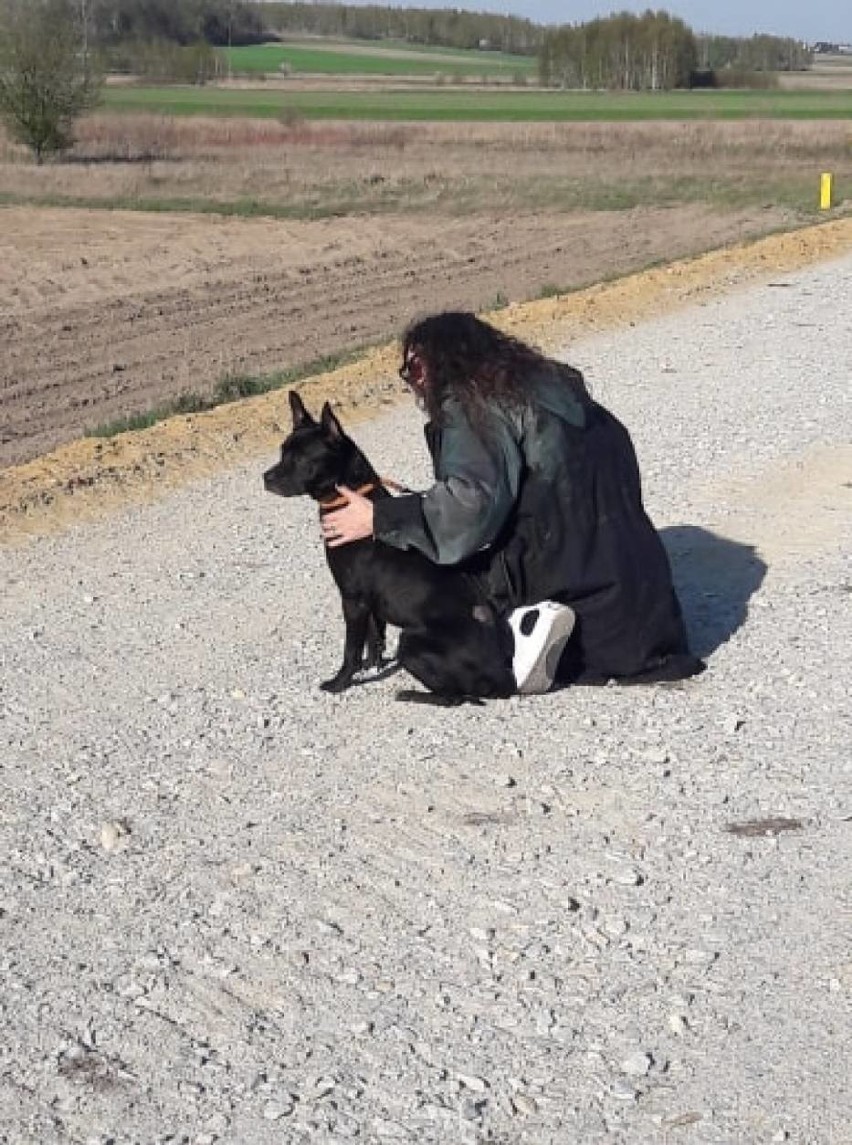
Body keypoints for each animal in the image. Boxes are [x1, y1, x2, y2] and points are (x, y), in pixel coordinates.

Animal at [263, 389, 513, 700]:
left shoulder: (353, 600)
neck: (350, 499)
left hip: (410, 641)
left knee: (455, 696)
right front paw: (373, 663)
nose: (266, 478)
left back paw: (412, 694)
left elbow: (351, 648)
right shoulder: (368, 602)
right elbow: (374, 635)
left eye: (300, 458)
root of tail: (501, 677)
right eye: (282, 451)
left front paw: (341, 682)